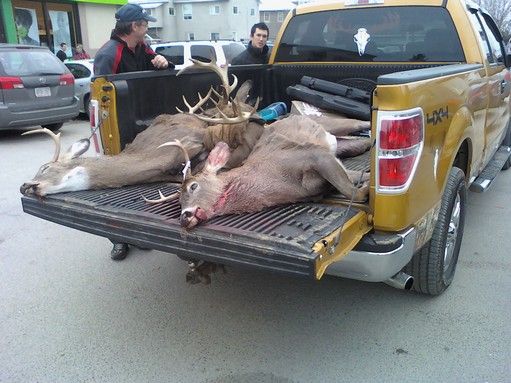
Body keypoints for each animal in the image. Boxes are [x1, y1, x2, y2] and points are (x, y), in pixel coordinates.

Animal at [174, 115, 370, 230]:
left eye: (193, 186)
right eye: (179, 201)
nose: (184, 217)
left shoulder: (312, 154)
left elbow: (353, 192)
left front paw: (369, 188)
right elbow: (352, 179)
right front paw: (367, 181)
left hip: (330, 124)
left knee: (357, 122)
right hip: (345, 144)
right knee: (361, 143)